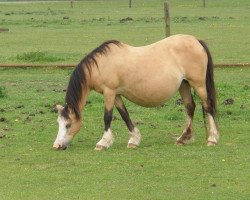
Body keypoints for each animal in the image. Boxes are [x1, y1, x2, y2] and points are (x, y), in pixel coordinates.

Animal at [53, 34, 219, 150]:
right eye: (58, 123)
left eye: (68, 124)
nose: (57, 146)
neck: (100, 64)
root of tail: (197, 41)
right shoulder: (116, 94)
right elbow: (125, 115)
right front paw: (134, 140)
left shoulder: (109, 92)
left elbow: (107, 117)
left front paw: (103, 142)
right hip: (184, 85)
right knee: (190, 107)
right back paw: (183, 138)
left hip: (198, 84)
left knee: (207, 106)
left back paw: (212, 139)